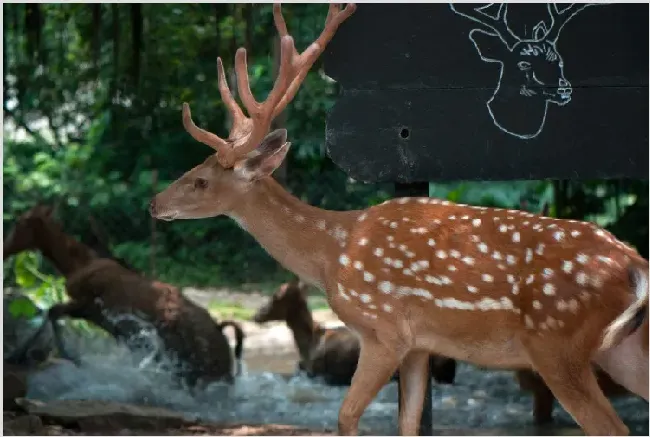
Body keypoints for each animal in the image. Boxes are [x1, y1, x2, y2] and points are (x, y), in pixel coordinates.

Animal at [3, 204, 246, 388]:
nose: (4, 249)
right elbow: (51, 313)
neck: (78, 264)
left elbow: (52, 312)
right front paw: (17, 355)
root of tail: (220, 331)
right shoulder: (92, 314)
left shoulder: (87, 305)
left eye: (21, 223)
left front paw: (68, 356)